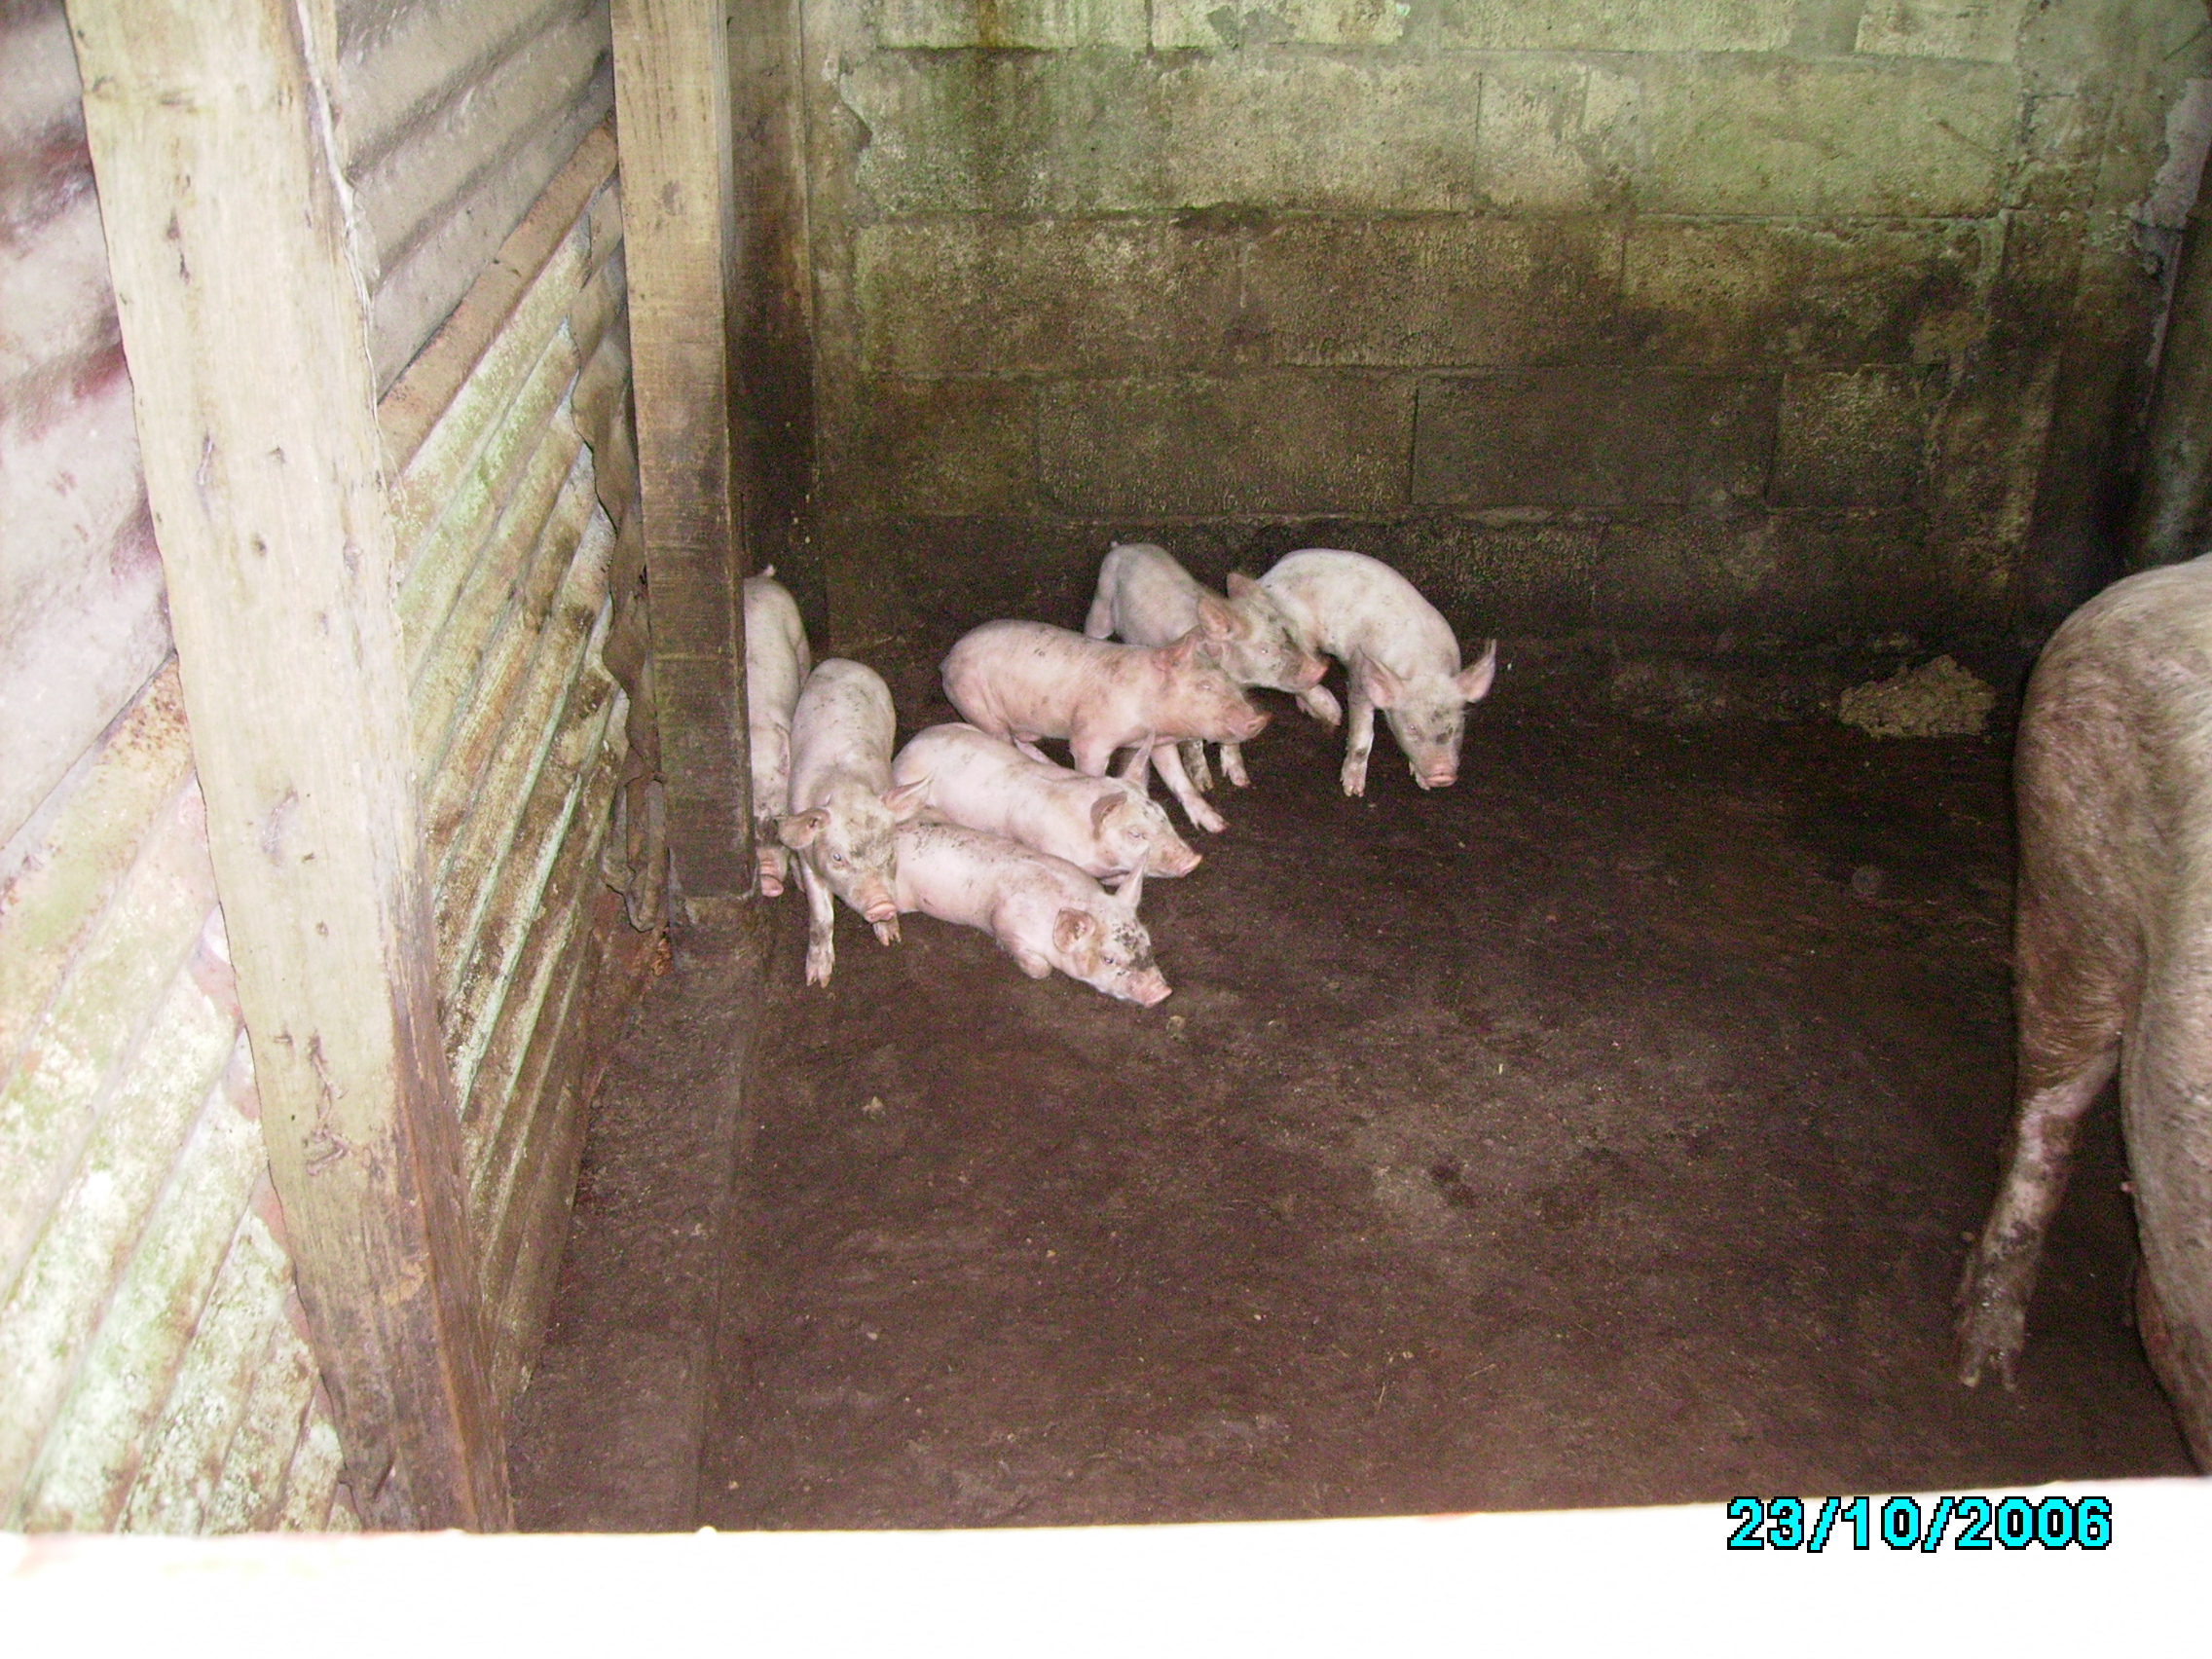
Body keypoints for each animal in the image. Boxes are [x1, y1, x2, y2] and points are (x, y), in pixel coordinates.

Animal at [777, 658, 930, 987]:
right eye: (838, 858)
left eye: (890, 851)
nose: (882, 903)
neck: (847, 788)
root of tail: (844, 662)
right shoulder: (810, 858)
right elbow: (822, 917)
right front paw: (817, 980)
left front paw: (891, 938)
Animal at [939, 619, 1268, 834]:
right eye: (1204, 685)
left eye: (1228, 681)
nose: (1260, 719)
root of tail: (948, 657)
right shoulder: (1089, 739)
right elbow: (1091, 772)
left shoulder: (1160, 742)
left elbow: (1179, 780)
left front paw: (1218, 825)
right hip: (977, 704)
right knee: (1004, 741)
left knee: (1022, 741)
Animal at [1084, 542, 1328, 791]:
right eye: (1265, 649)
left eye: (1290, 631)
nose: (1321, 669)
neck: (1233, 676)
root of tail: (1124, 546)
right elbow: (1193, 742)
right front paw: (1205, 786)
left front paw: (1241, 781)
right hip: (1101, 601)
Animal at [1258, 549, 1498, 797]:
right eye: (1412, 727)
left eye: (1456, 727)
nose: (1442, 775)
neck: (1425, 668)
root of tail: (1267, 577)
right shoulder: (1359, 676)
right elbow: (1362, 736)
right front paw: (1353, 791)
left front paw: (1423, 783)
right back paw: (1333, 714)